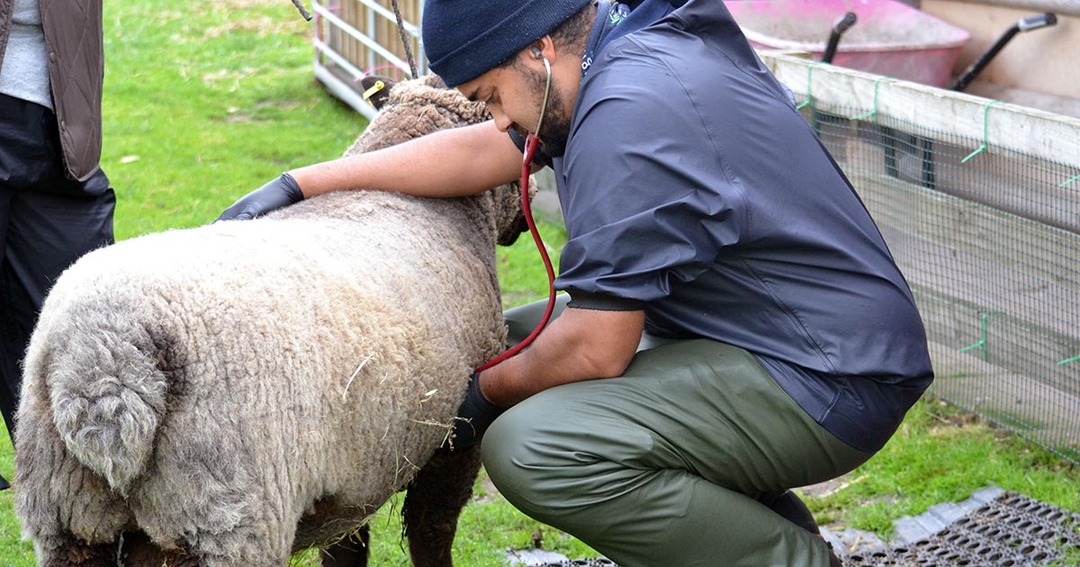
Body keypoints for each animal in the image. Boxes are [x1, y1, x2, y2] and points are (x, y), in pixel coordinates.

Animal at [14, 74, 529, 566]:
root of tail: (107, 360)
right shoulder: (454, 443)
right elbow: (431, 534)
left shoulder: (353, 475)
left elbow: (346, 547)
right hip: (229, 519)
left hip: (67, 517)